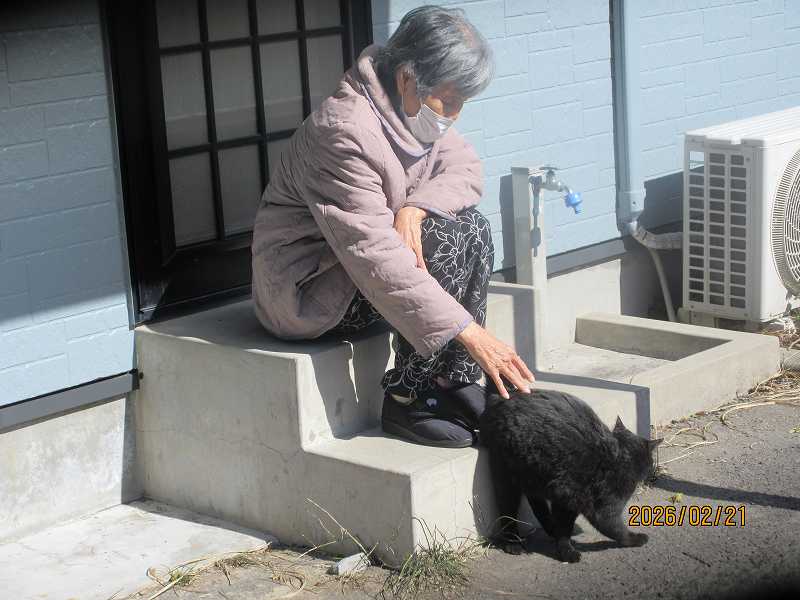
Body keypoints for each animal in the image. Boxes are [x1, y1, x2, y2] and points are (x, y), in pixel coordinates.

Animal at [478, 386, 662, 563]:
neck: (620, 454)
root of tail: (500, 397)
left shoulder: (566, 500)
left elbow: (563, 527)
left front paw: (563, 546)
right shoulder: (601, 508)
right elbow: (615, 529)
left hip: (533, 473)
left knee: (537, 504)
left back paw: (549, 529)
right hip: (506, 475)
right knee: (507, 511)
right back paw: (513, 544)